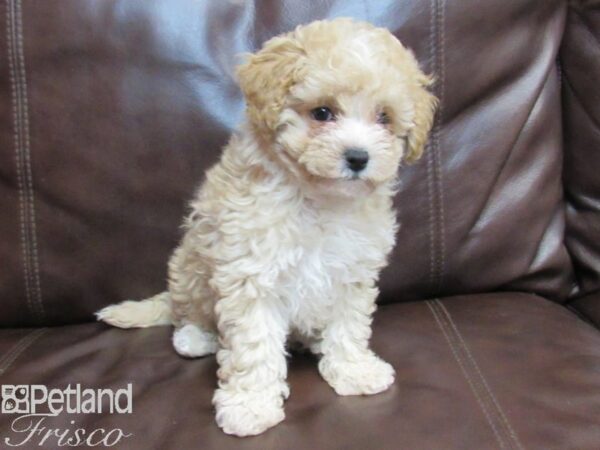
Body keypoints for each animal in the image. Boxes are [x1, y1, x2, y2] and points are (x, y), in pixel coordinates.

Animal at [97, 17, 436, 436]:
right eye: (322, 113)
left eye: (384, 118)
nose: (359, 157)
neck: (318, 199)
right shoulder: (250, 273)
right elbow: (254, 343)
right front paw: (251, 405)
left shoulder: (352, 271)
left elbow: (349, 324)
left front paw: (354, 370)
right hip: (190, 266)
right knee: (186, 311)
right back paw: (195, 337)